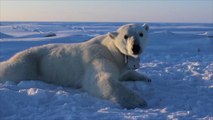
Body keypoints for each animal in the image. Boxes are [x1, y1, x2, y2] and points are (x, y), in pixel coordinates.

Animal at [0, 23, 151, 109]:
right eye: (126, 36)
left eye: (141, 34)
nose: (135, 48)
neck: (111, 50)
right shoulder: (98, 58)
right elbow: (101, 79)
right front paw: (139, 101)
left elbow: (125, 73)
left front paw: (146, 78)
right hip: (29, 62)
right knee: (12, 69)